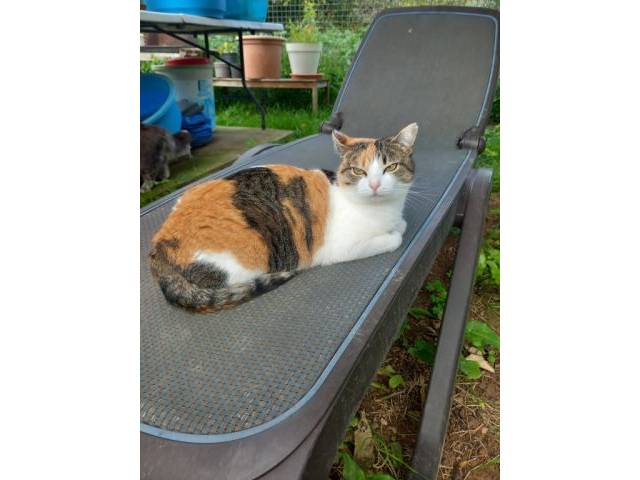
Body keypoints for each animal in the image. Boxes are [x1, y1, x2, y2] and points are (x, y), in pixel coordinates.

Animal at [149, 122, 418, 312]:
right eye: (358, 171)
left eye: (391, 167)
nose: (374, 185)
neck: (383, 211)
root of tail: (158, 245)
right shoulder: (342, 248)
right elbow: (395, 238)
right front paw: (394, 233)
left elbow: (402, 224)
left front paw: (399, 224)